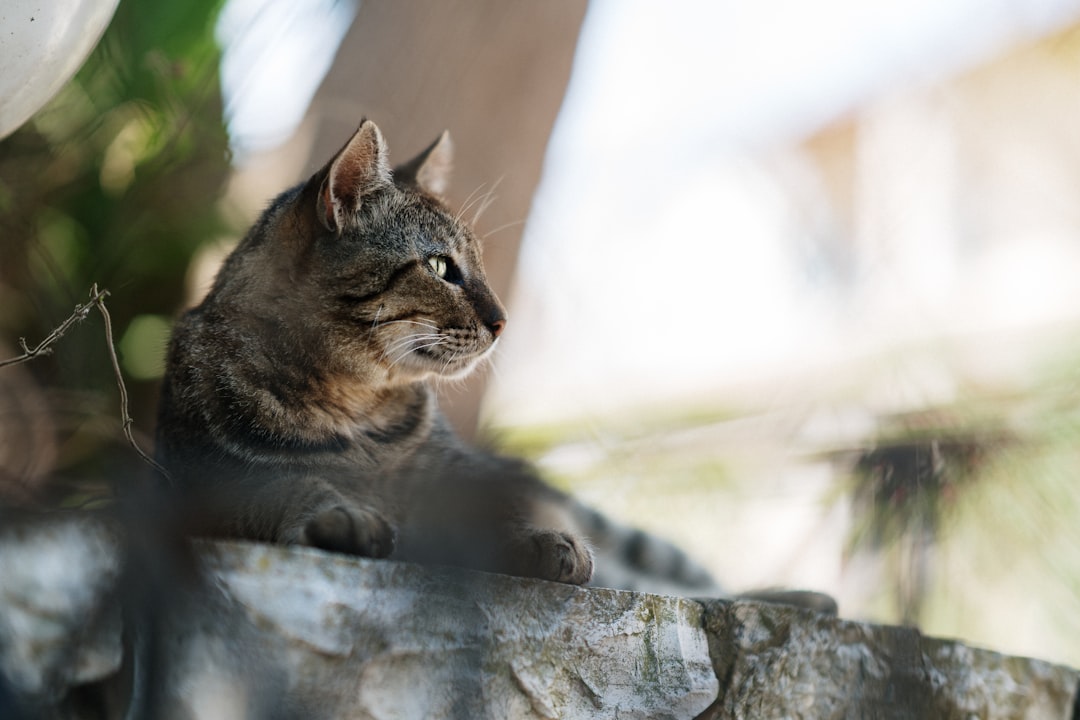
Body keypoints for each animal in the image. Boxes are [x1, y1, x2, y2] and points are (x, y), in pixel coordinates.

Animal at [156, 118, 717, 591]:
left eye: (479, 264)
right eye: (441, 267)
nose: (503, 320)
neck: (355, 409)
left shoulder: (464, 481)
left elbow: (492, 515)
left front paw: (539, 542)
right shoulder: (203, 486)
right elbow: (287, 488)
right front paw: (342, 516)